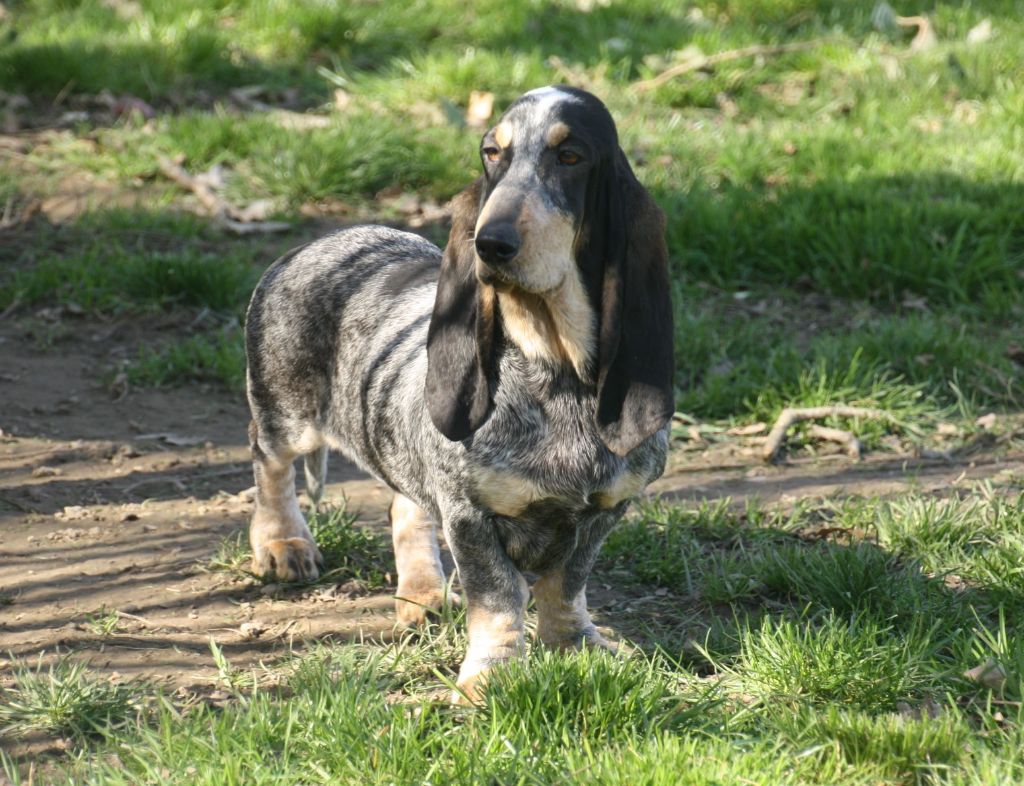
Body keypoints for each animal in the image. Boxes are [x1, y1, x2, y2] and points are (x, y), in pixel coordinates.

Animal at [243, 85, 675, 700]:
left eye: (570, 156)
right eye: (491, 153)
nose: (490, 243)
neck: (554, 366)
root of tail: (316, 243)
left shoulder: (606, 508)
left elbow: (566, 584)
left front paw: (576, 646)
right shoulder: (470, 515)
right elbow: (498, 598)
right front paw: (492, 678)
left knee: (405, 504)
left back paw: (421, 594)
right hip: (288, 415)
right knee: (269, 462)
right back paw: (284, 545)